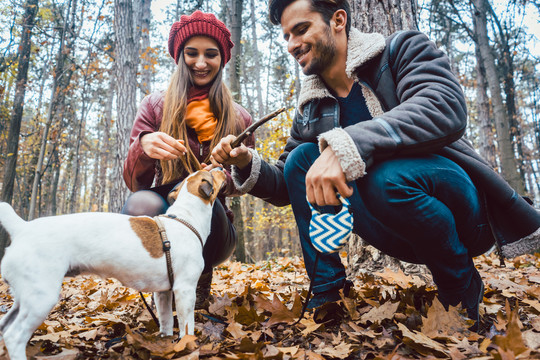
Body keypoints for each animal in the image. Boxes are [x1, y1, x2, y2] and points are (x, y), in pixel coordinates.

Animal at [0, 169, 226, 360]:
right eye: (212, 172)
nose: (222, 167)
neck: (185, 219)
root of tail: (23, 228)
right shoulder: (185, 290)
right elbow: (187, 326)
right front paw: (188, 346)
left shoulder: (163, 293)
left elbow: (166, 322)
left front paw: (167, 343)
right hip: (41, 298)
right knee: (14, 336)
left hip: (26, 297)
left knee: (5, 326)